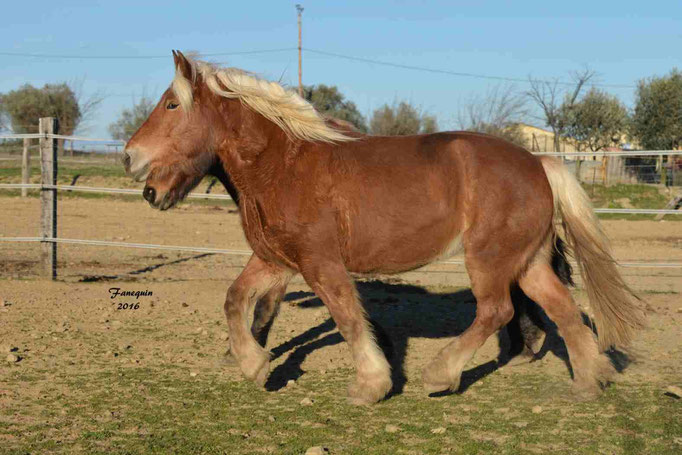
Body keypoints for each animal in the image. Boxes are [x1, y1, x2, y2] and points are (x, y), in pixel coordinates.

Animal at [123, 51, 644, 404]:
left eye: (171, 105)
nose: (131, 160)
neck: (284, 165)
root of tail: (539, 163)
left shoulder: (320, 262)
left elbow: (348, 318)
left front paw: (371, 385)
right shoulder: (276, 259)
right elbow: (236, 300)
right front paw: (255, 365)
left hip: (490, 260)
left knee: (496, 311)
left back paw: (440, 375)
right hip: (527, 262)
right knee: (564, 312)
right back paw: (587, 383)